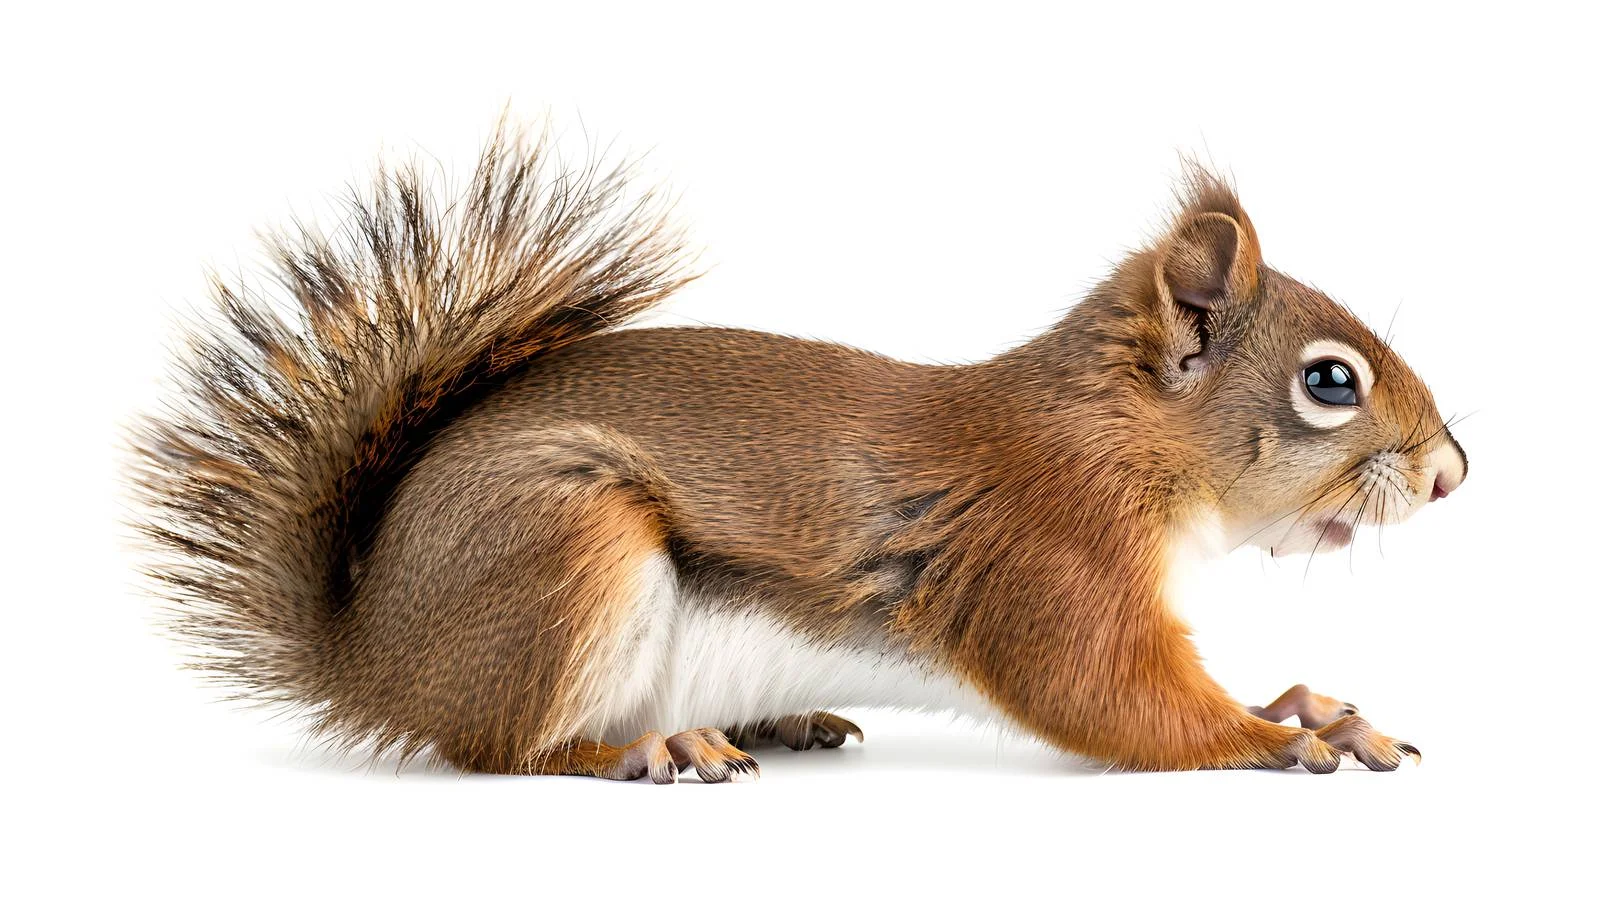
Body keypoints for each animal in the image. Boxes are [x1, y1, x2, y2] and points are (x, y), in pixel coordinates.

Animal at [131, 126, 1467, 782]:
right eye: (1329, 382)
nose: (1453, 472)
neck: (1116, 440)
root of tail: (378, 659)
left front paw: (1313, 706)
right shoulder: (1045, 557)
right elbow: (1116, 702)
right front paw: (1281, 739)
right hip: (563, 556)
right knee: (499, 750)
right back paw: (646, 751)